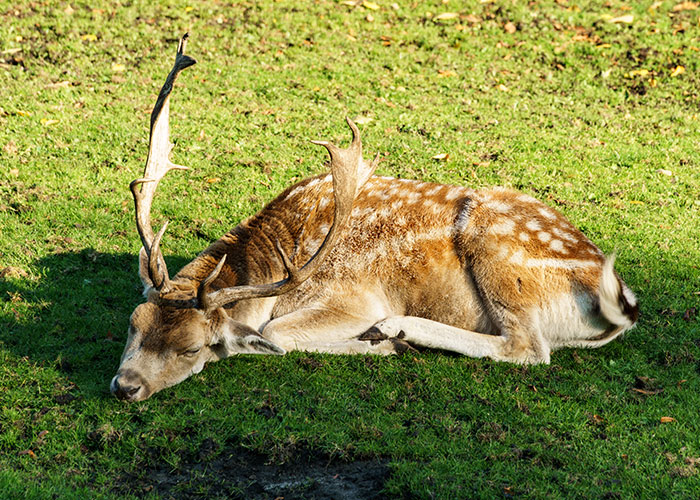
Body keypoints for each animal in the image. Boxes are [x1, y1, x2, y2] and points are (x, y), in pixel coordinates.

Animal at [111, 34, 638, 402]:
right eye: (134, 323)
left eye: (193, 347)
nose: (125, 386)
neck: (281, 255)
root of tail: (621, 300)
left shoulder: (354, 297)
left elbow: (274, 333)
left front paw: (378, 343)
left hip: (497, 252)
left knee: (527, 348)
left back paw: (396, 330)